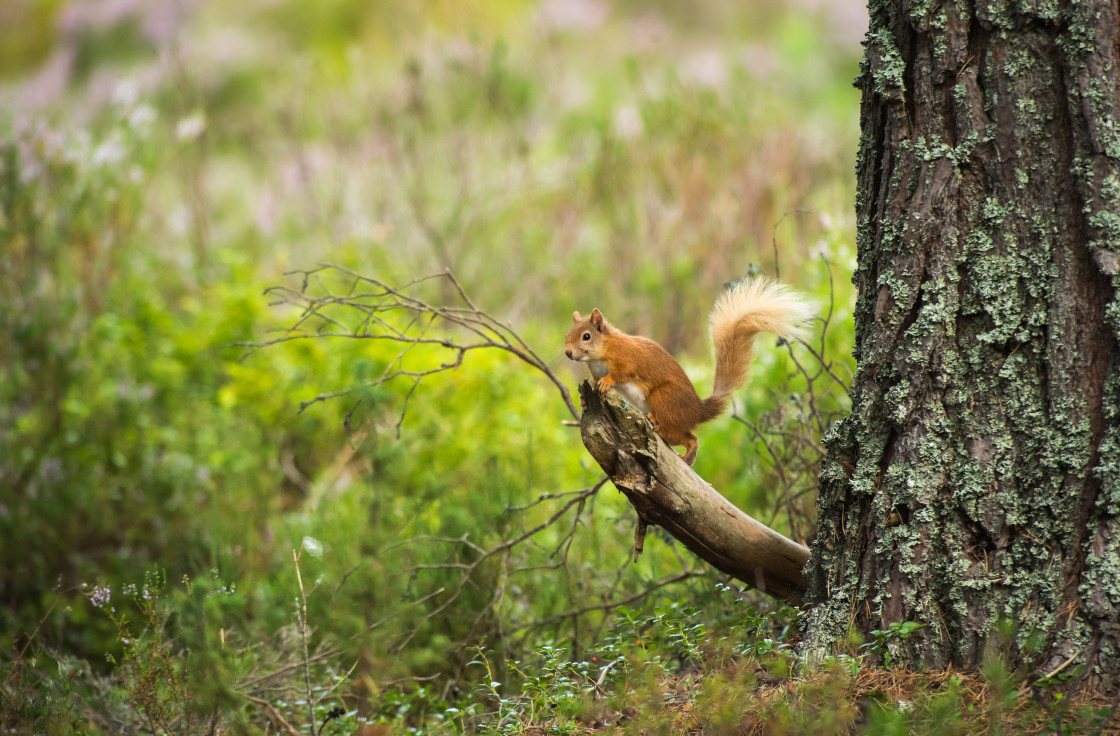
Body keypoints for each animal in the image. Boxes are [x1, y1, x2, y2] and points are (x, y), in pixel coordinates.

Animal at [564, 278, 810, 461]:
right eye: (568, 334)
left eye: (586, 336)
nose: (567, 353)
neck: (601, 353)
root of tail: (697, 409)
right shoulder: (594, 371)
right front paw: (584, 401)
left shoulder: (627, 358)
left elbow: (621, 373)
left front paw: (607, 381)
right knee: (689, 437)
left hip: (664, 398)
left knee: (681, 434)